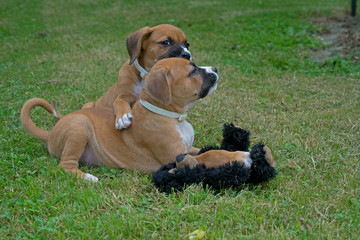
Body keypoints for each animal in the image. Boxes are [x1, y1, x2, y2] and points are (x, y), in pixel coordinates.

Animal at [20, 58, 253, 182]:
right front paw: (242, 157)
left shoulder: (188, 148)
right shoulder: (176, 156)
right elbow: (212, 154)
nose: (215, 69)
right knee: (64, 166)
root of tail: (50, 133)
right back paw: (88, 177)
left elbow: (211, 149)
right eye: (193, 70)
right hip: (80, 126)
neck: (172, 117)